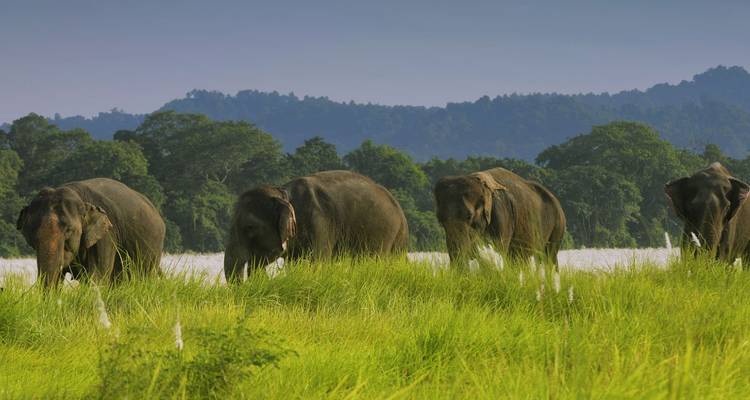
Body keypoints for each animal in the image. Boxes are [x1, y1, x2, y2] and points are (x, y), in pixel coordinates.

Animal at [434, 167, 566, 266]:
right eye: (440, 219)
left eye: (469, 216)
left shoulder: (502, 214)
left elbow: (499, 249)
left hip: (558, 226)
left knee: (548, 257)